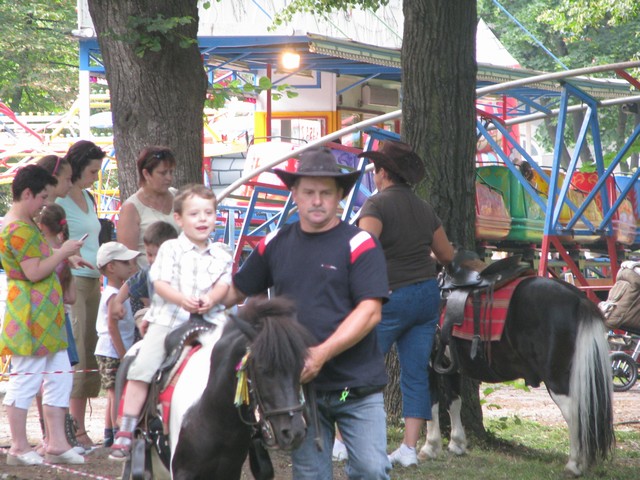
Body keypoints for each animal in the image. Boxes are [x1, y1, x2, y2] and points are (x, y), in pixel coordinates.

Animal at [118, 296, 314, 480]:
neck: (214, 414)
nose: (295, 432)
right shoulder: (182, 472)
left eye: (300, 368)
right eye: (263, 369)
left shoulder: (230, 471)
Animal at [422, 258, 614, 477]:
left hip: (557, 380)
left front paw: (430, 447)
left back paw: (574, 464)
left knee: (574, 414)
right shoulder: (449, 366)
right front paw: (457, 444)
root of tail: (578, 299)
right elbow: (454, 402)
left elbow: (431, 402)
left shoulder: (427, 363)